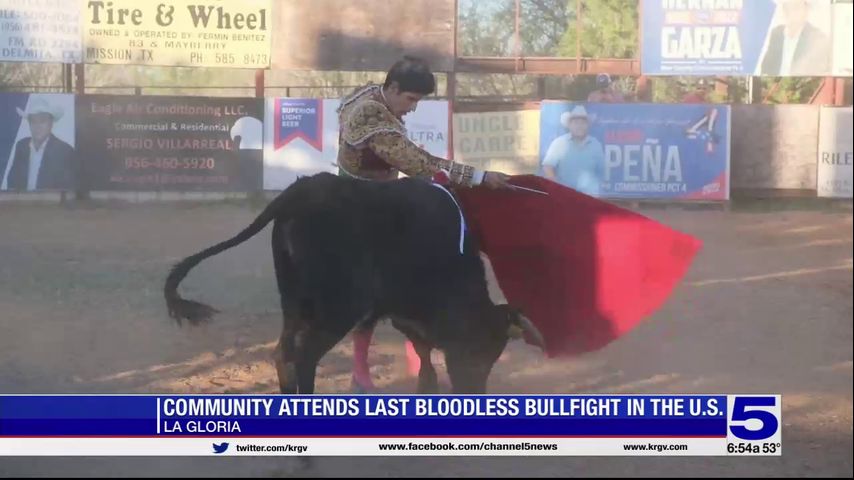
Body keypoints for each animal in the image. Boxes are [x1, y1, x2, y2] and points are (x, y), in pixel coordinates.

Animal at [164, 172, 544, 394]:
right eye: (481, 351)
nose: (472, 393)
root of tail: (299, 192)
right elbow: (421, 346)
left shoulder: (398, 309)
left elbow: (420, 347)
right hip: (338, 308)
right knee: (303, 357)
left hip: (294, 300)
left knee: (283, 353)